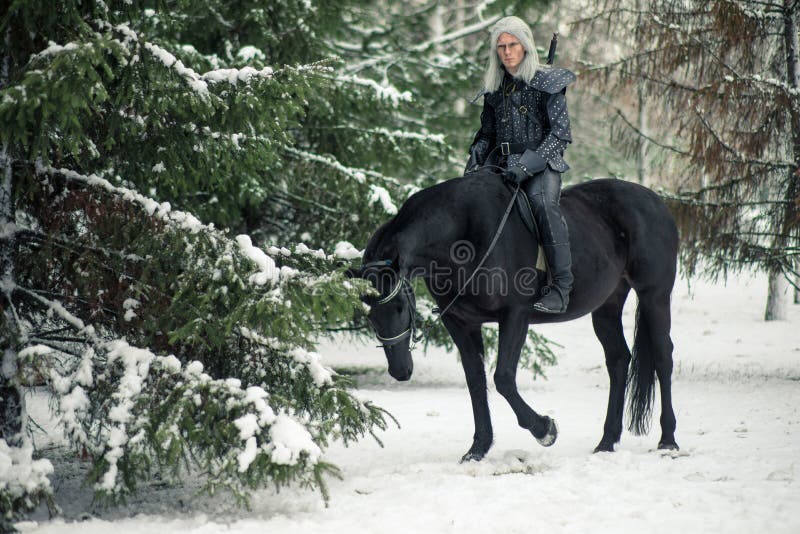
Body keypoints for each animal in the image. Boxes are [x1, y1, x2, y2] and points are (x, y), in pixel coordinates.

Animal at [354, 173, 680, 464]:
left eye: (399, 306)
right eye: (368, 313)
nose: (400, 371)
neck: (463, 234)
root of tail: (656, 201)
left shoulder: (515, 315)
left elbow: (503, 378)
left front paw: (545, 429)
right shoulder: (461, 323)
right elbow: (476, 380)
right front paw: (478, 449)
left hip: (654, 295)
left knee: (663, 357)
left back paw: (668, 439)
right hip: (606, 306)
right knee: (618, 360)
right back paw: (606, 442)